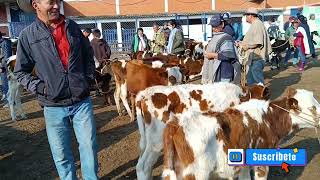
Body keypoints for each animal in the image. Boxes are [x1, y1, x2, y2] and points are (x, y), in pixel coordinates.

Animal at [162, 88, 320, 179]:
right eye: (312, 107)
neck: (269, 118)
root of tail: (177, 123)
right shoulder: (261, 162)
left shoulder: (244, 163)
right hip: (196, 174)